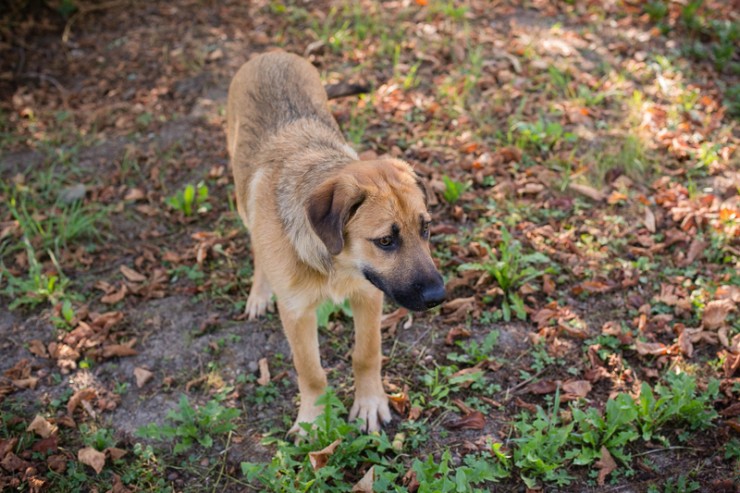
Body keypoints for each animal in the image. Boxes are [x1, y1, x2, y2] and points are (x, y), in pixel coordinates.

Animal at [225, 52, 446, 432]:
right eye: (385, 240)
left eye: (426, 229)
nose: (438, 297)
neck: (334, 264)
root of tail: (271, 54)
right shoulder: (297, 313)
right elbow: (311, 372)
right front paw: (313, 420)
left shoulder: (369, 294)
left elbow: (366, 353)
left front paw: (370, 403)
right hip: (241, 194)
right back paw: (260, 292)